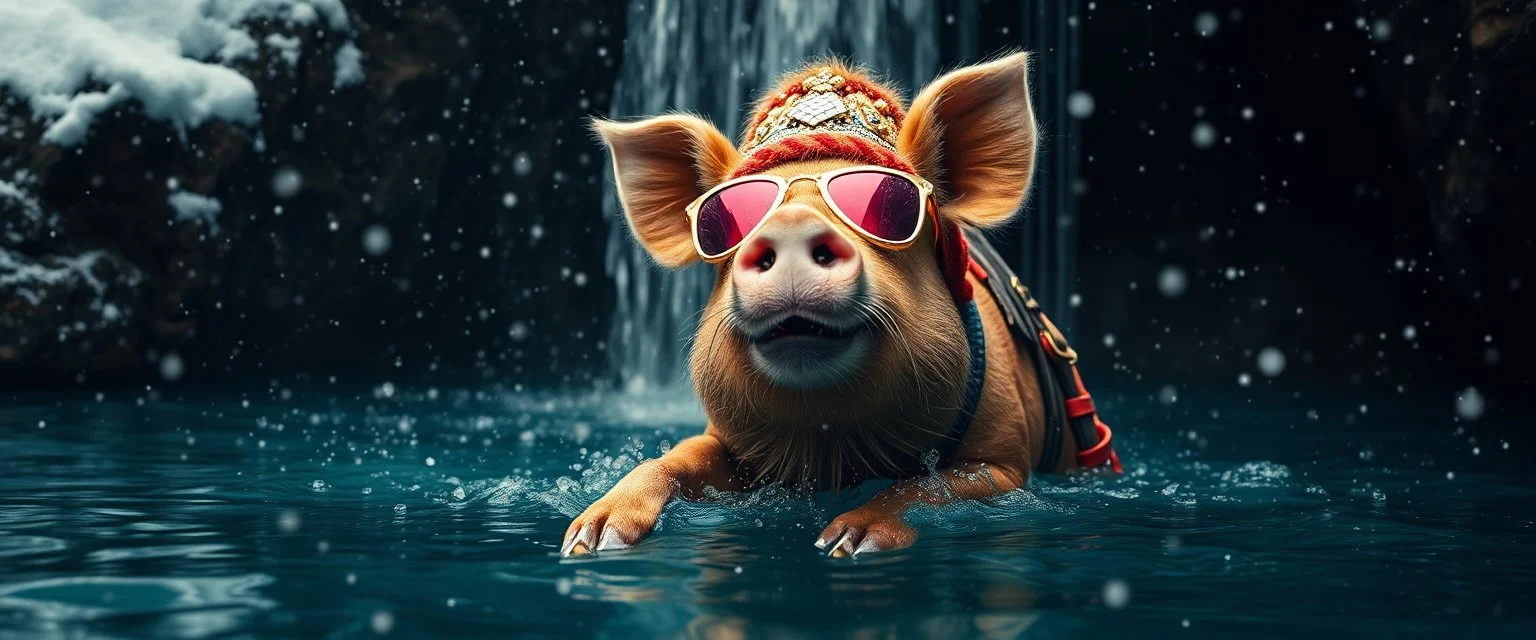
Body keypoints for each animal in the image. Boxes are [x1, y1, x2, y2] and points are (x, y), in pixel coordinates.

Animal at [565, 53, 1117, 558]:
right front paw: (590, 538)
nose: (789, 225)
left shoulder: (1005, 460)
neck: (832, 445)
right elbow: (676, 457)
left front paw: (844, 543)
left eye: (889, 204)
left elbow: (927, 486)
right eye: (727, 218)